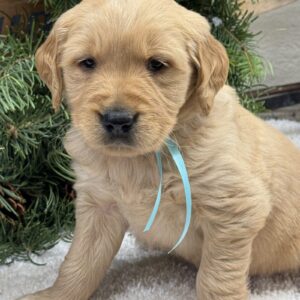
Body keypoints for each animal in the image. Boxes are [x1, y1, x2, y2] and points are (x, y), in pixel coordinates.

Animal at [21, 0, 300, 300]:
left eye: (157, 65)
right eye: (87, 63)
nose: (117, 120)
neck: (139, 159)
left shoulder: (235, 209)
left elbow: (215, 278)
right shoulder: (99, 205)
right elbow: (79, 263)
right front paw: (54, 294)